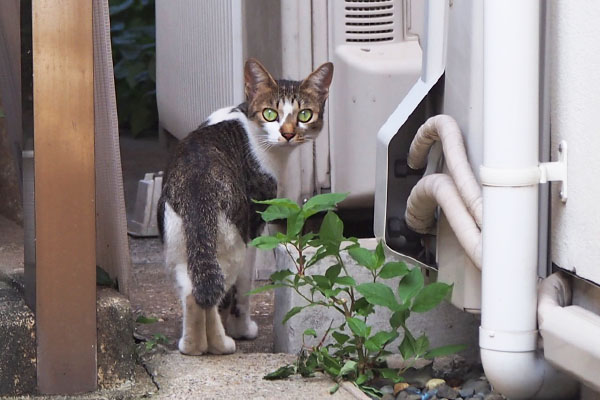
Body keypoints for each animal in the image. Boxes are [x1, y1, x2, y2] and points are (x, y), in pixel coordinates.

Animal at [157, 57, 332, 354]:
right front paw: (242, 330)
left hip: (179, 245)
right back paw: (221, 344)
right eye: (271, 114)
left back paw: (192, 346)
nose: (287, 134)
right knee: (213, 294)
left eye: (305, 115)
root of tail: (198, 184)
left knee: (192, 292)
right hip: (233, 243)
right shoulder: (255, 227)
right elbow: (243, 292)